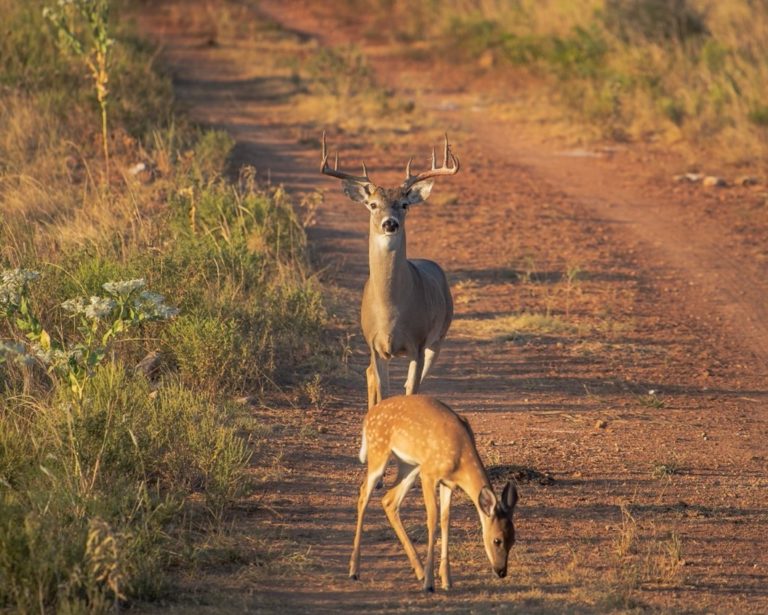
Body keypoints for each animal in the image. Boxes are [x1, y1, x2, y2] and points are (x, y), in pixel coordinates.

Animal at [322, 132, 460, 406]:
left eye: (404, 204)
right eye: (373, 205)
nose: (390, 224)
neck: (391, 310)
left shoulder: (418, 343)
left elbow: (410, 389)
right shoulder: (374, 345)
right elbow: (382, 388)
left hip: (439, 337)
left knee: (410, 382)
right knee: (369, 374)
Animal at [352, 394, 520, 592]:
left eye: (513, 540)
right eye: (497, 540)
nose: (502, 571)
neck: (460, 458)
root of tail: (369, 416)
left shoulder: (448, 483)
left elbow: (445, 520)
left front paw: (446, 580)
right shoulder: (429, 475)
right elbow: (432, 519)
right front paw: (430, 584)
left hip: (410, 465)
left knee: (389, 500)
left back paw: (419, 571)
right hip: (379, 451)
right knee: (364, 494)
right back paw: (354, 571)